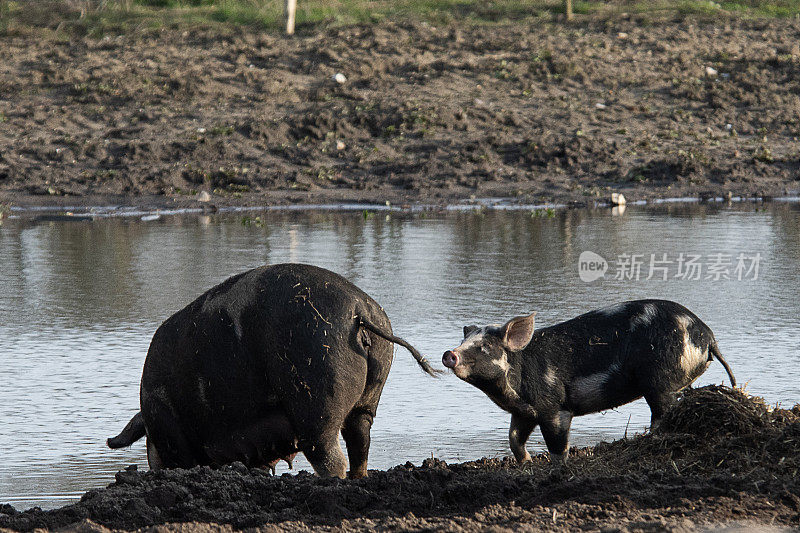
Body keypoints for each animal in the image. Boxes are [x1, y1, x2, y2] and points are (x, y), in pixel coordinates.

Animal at [108, 262, 434, 478]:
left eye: (149, 440)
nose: (153, 470)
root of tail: (360, 312)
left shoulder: (171, 429)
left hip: (316, 395)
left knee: (330, 454)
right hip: (369, 397)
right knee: (360, 442)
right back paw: (358, 477)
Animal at [444, 300, 736, 466]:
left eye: (483, 347)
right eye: (464, 341)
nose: (449, 353)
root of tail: (709, 337)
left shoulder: (555, 408)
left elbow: (558, 446)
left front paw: (557, 469)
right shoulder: (524, 412)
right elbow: (514, 439)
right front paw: (526, 465)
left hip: (660, 382)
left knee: (662, 413)